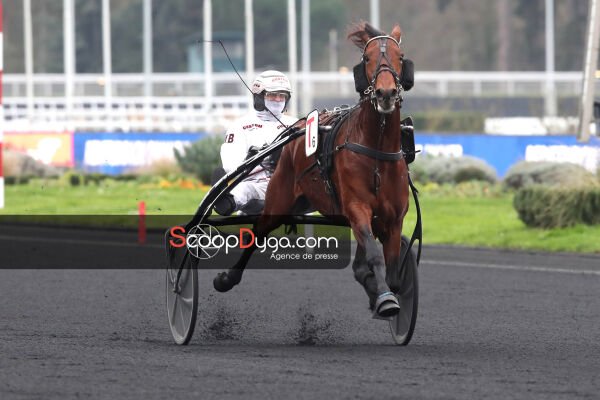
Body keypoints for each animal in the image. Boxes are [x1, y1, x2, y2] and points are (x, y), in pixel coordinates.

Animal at [212, 22, 412, 318]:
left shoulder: (393, 216)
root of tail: (293, 131)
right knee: (258, 229)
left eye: (400, 57)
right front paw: (384, 298)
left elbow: (393, 271)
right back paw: (227, 273)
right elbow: (375, 256)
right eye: (367, 58)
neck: (375, 149)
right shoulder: (357, 207)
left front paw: (382, 293)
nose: (385, 94)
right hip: (278, 198)